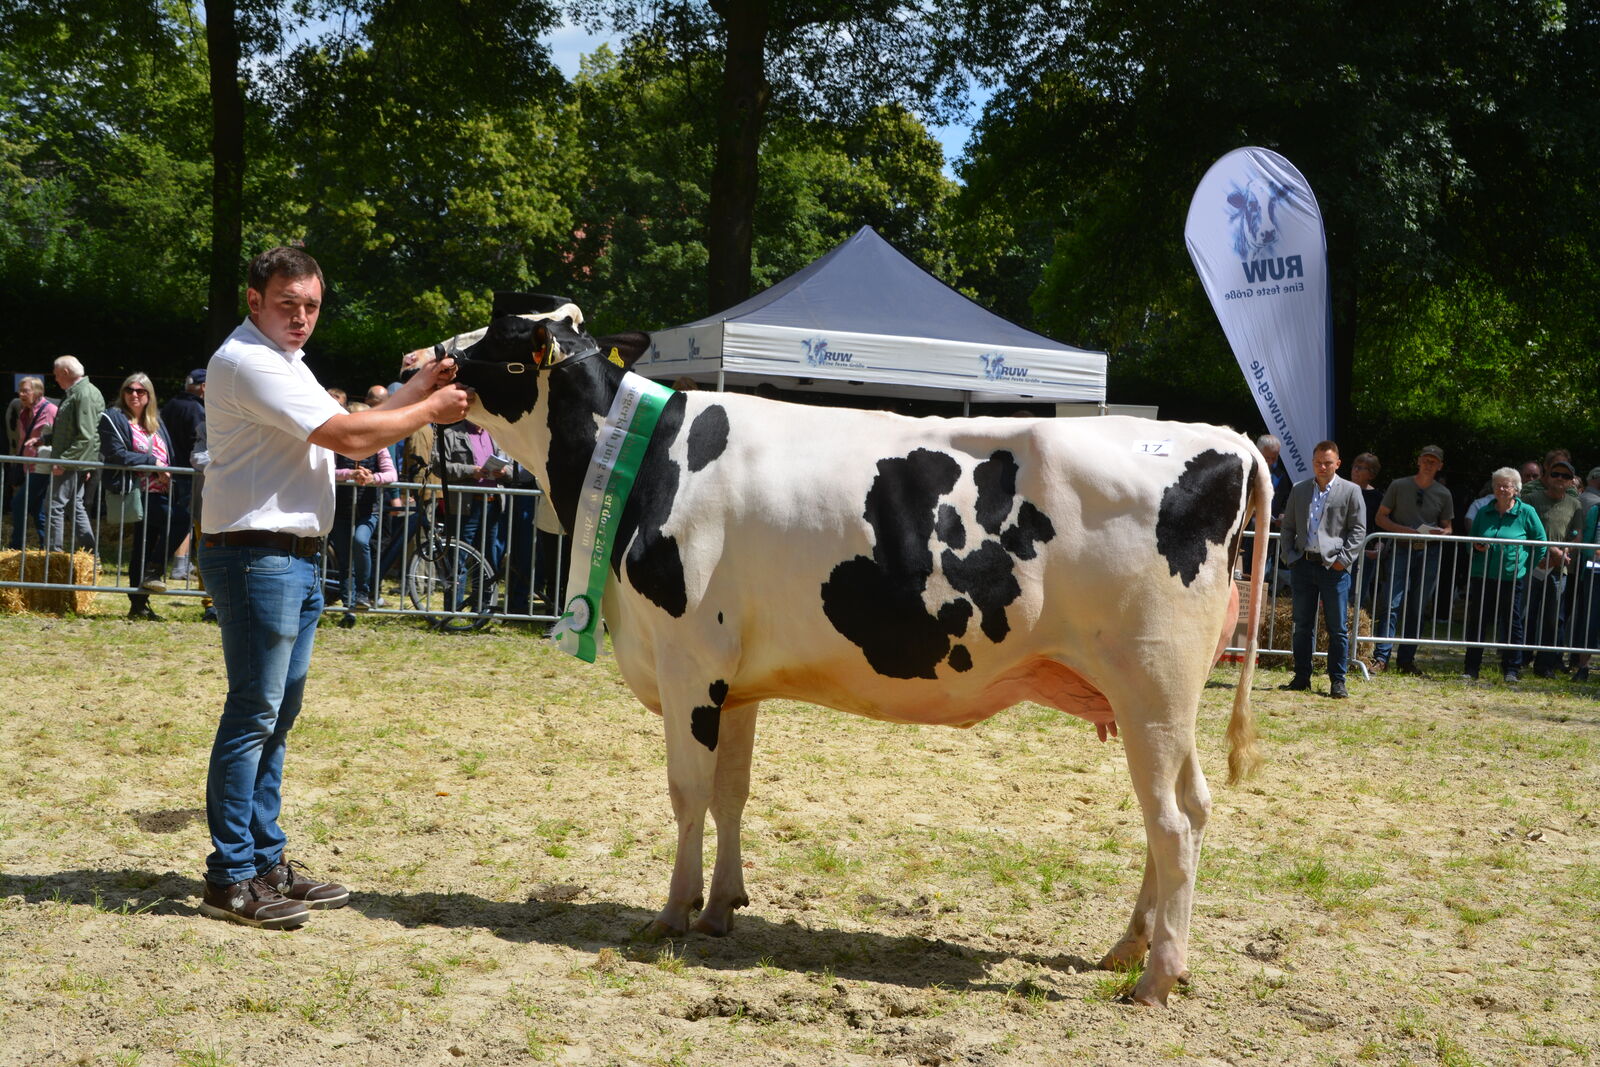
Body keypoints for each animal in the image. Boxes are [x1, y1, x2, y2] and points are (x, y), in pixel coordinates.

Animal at [444, 302, 1267, 1011]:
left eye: (499, 333)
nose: (429, 357)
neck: (643, 463)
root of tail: (1226, 442)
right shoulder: (734, 682)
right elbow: (731, 793)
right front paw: (720, 908)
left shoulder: (687, 663)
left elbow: (687, 792)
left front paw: (673, 913)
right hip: (1156, 700)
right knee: (1181, 811)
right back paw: (1128, 948)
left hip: (1151, 684)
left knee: (1173, 820)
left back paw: (1156, 977)